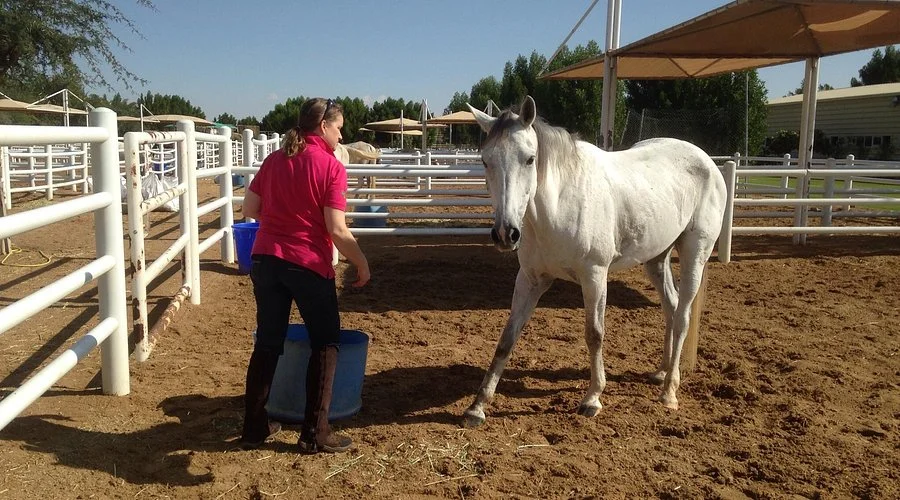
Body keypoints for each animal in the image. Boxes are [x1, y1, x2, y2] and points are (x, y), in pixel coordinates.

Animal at [460, 95, 728, 428]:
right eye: (486, 161)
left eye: (530, 159)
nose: (505, 234)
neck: (559, 205)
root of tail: (708, 162)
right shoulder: (530, 280)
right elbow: (506, 339)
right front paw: (477, 407)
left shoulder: (594, 276)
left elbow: (594, 334)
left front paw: (592, 398)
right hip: (656, 258)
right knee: (671, 306)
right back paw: (662, 371)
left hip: (695, 253)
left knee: (683, 316)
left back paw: (669, 392)